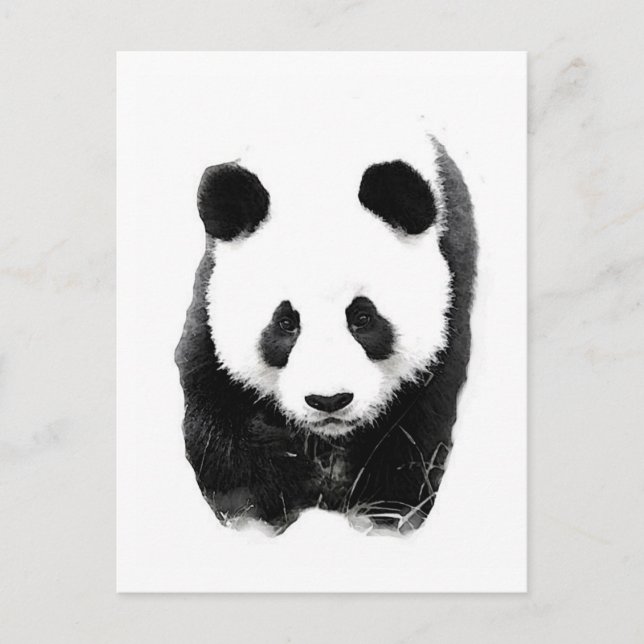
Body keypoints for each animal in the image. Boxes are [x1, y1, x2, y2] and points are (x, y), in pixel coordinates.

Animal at [175, 132, 477, 535]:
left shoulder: (452, 293)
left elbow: (414, 431)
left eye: (363, 317)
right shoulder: (209, 305)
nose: (329, 400)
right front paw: (284, 486)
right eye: (286, 322)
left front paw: (379, 513)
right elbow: (217, 427)